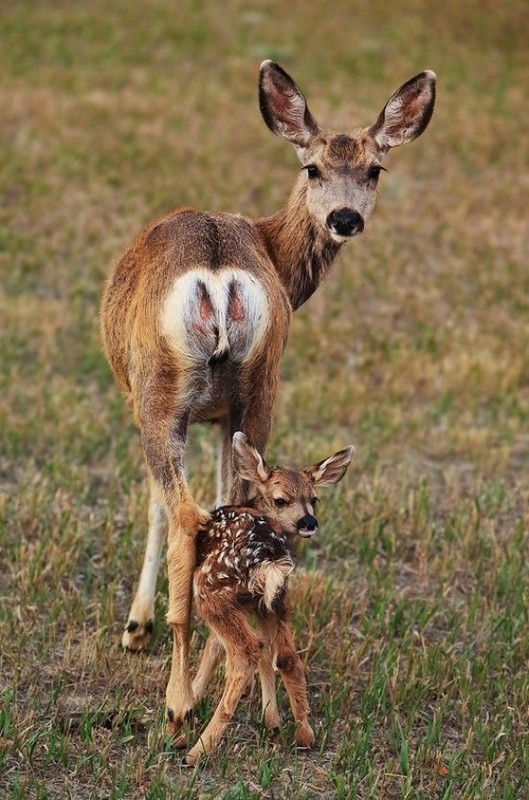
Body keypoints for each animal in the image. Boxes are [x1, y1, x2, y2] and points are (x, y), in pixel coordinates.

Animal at [186, 434, 354, 764]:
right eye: (281, 500)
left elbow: (221, 646)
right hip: (279, 595)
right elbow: (267, 653)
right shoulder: (262, 602)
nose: (308, 522)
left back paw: (198, 749)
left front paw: (192, 698)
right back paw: (304, 735)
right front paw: (273, 725)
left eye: (314, 498)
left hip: (209, 588)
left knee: (245, 652)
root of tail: (267, 557)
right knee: (286, 656)